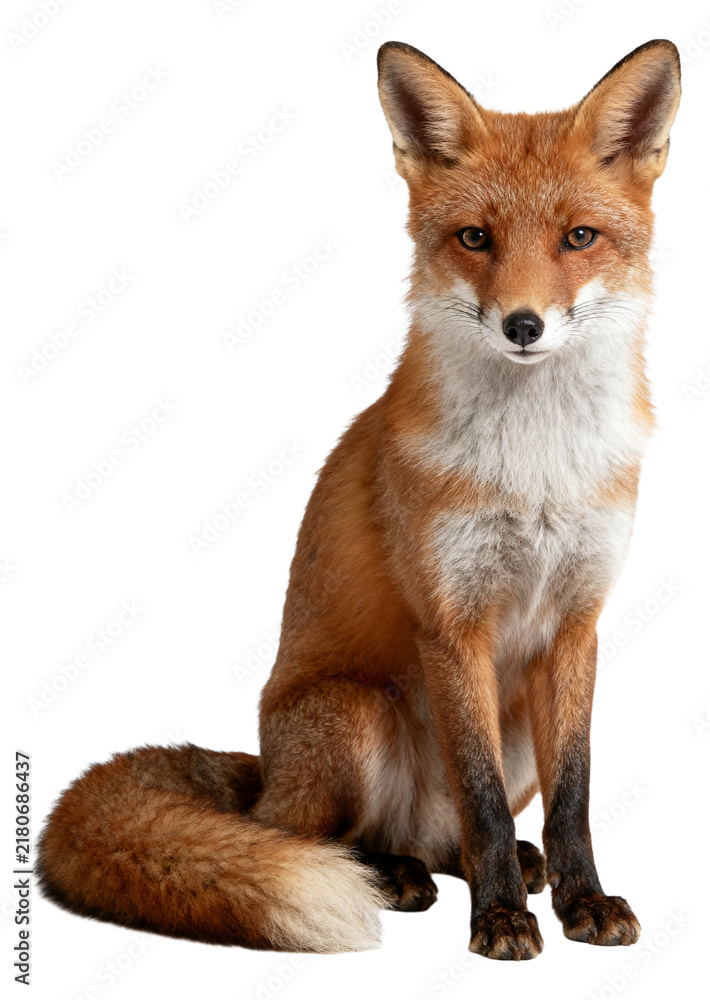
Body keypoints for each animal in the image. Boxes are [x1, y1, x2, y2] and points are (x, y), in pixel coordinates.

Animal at [38, 39, 681, 961]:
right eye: (475, 238)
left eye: (579, 238)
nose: (523, 325)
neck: (535, 470)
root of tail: (264, 775)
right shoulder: (452, 622)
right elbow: (482, 798)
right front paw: (497, 923)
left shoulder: (578, 624)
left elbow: (574, 798)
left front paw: (582, 902)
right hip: (356, 714)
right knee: (317, 836)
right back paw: (391, 875)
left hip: (513, 718)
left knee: (448, 836)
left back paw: (475, 867)